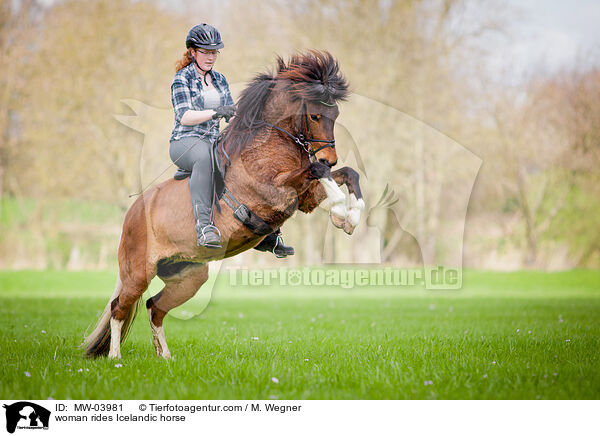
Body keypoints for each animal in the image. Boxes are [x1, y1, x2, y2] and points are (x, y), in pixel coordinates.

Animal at [83, 50, 366, 358]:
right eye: (314, 115)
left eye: (335, 115)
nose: (330, 157)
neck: (269, 141)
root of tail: (132, 214)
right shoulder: (275, 192)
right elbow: (318, 171)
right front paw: (340, 210)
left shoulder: (302, 197)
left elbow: (348, 174)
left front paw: (350, 218)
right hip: (138, 273)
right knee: (119, 308)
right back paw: (115, 357)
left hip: (189, 276)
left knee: (154, 307)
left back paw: (165, 357)